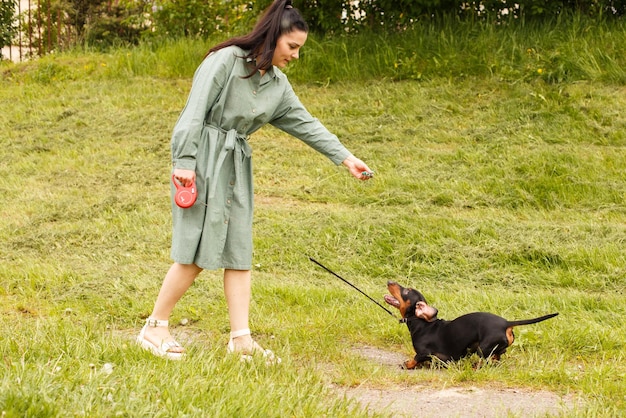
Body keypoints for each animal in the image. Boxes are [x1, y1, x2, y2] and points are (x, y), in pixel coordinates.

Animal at [382, 280, 560, 370]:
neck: (422, 324)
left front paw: (408, 364)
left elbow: (416, 358)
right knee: (497, 358)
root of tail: (506, 323)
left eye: (406, 291)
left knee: (488, 362)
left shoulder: (423, 352)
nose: (389, 280)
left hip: (483, 348)